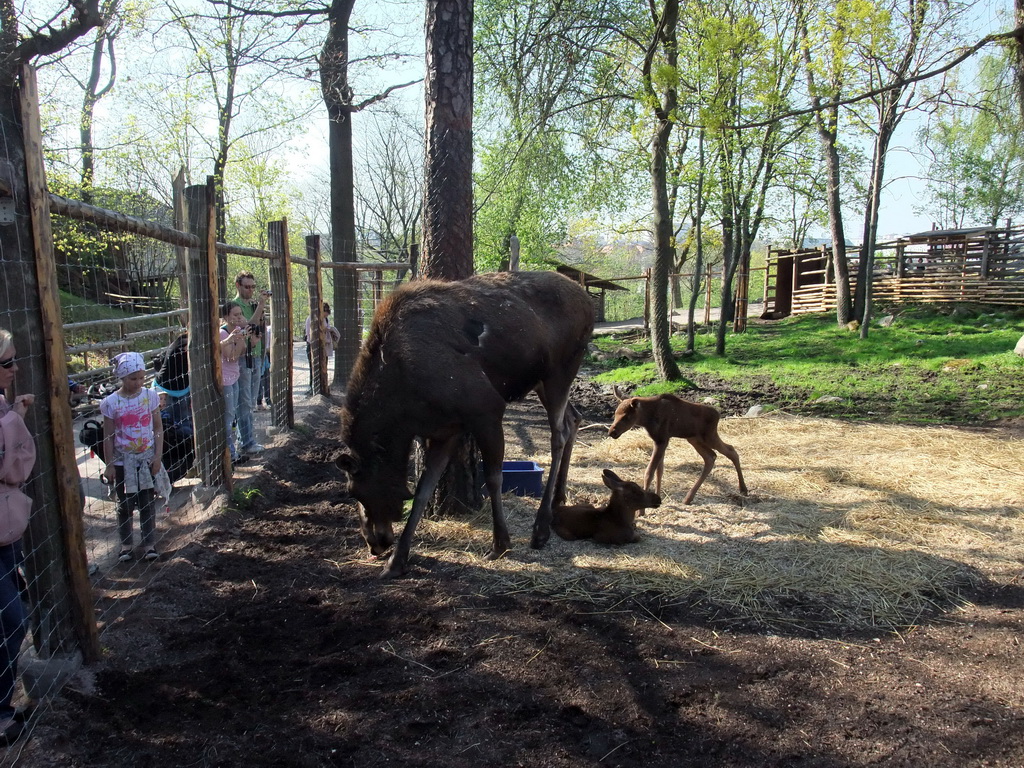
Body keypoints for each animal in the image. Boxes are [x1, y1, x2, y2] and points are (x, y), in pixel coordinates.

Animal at [335, 270, 593, 577]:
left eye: (354, 490)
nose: (375, 543)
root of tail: (588, 299)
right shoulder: (443, 431)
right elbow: (422, 491)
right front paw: (397, 560)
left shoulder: (487, 409)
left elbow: (493, 478)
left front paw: (500, 544)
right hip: (542, 382)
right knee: (574, 418)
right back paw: (558, 498)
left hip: (560, 371)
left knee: (559, 434)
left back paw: (540, 527)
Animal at [606, 385, 745, 505]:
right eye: (615, 414)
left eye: (626, 417)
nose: (612, 432)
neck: (646, 419)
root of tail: (718, 414)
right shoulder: (659, 440)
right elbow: (660, 471)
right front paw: (658, 497)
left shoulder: (662, 440)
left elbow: (649, 472)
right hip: (694, 439)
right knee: (711, 456)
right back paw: (689, 498)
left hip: (709, 436)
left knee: (731, 451)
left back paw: (743, 488)